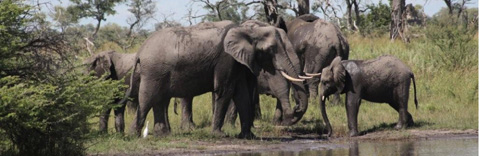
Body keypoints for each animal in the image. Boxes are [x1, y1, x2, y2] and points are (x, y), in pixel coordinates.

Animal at [122, 20, 310, 138]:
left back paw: (164, 135)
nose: (295, 109)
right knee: (147, 99)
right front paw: (219, 135)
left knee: (160, 101)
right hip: (153, 71)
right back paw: (134, 135)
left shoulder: (238, 63)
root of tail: (140, 51)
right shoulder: (226, 59)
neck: (245, 28)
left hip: (158, 72)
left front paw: (248, 136)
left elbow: (241, 94)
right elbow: (225, 90)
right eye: (271, 48)